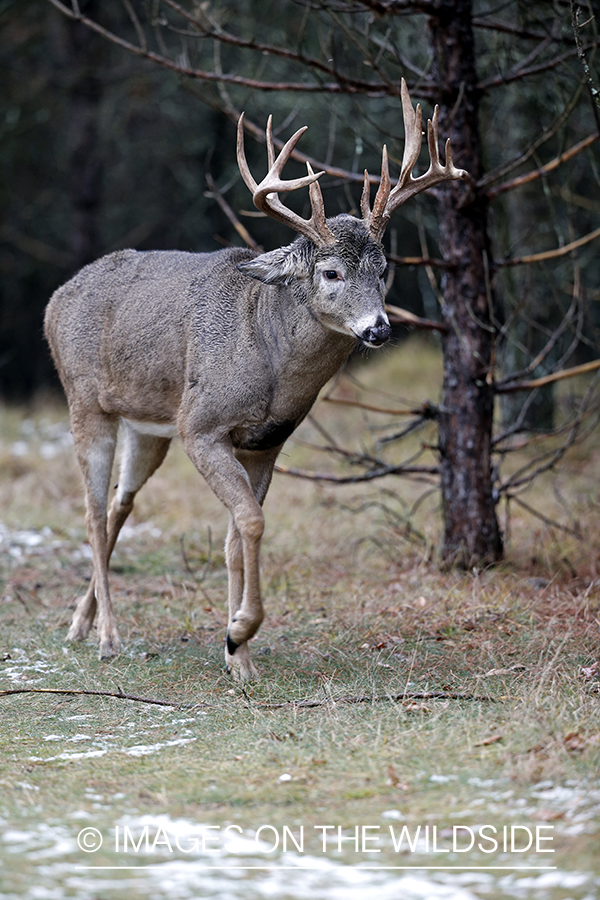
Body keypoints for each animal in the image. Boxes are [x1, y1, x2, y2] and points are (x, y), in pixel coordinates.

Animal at [45, 81, 468, 680]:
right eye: (331, 272)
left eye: (383, 269)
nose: (380, 328)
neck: (269, 366)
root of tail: (56, 300)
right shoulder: (200, 426)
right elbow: (250, 521)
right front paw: (241, 630)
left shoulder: (266, 442)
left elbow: (233, 535)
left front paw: (237, 655)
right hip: (85, 401)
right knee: (90, 511)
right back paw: (107, 636)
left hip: (147, 427)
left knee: (119, 505)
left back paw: (81, 624)